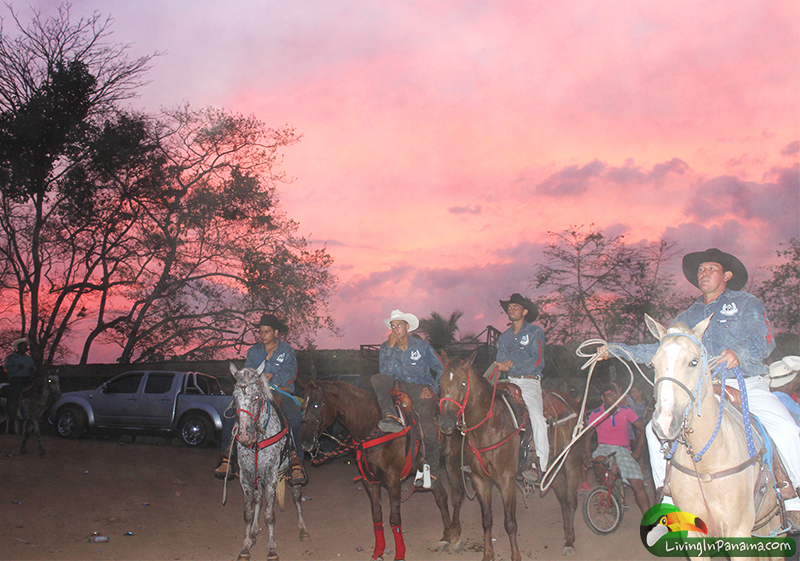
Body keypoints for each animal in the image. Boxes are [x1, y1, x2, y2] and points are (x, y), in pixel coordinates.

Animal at [230, 360, 310, 556]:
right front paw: (246, 545)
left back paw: (303, 530)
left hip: (292, 473)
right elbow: (249, 512)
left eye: (257, 397)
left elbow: (269, 514)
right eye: (234, 397)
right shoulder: (246, 475)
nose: (244, 436)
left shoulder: (272, 474)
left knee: (297, 497)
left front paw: (272, 548)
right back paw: (253, 532)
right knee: (259, 499)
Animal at [298, 378, 462, 556]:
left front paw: (399, 554)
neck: (372, 429)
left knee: (456, 495)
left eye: (316, 405)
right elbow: (377, 517)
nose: (305, 442)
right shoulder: (369, 481)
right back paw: (446, 536)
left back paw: (455, 535)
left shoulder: (393, 480)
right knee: (441, 497)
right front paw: (378, 551)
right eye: (302, 406)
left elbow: (394, 519)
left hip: (451, 463)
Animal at [438, 350, 580, 560]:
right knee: (562, 497)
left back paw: (570, 542)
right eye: (440, 383)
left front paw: (515, 555)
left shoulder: (506, 480)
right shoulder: (480, 480)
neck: (490, 426)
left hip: (571, 462)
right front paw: (488, 554)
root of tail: (572, 401)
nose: (445, 423)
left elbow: (510, 523)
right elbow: (487, 519)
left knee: (570, 499)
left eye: (463, 383)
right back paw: (567, 535)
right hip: (552, 467)